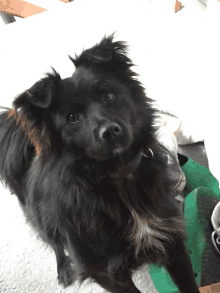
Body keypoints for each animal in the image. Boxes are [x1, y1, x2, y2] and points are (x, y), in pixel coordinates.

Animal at [0, 35, 199, 290]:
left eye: (109, 96)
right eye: (73, 118)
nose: (110, 131)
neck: (118, 176)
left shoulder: (172, 241)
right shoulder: (107, 273)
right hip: (42, 219)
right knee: (55, 243)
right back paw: (63, 268)